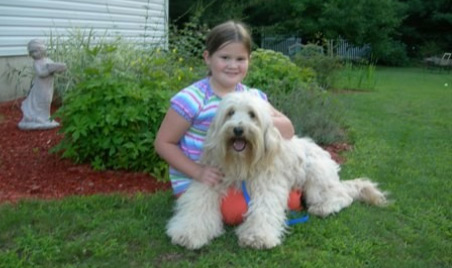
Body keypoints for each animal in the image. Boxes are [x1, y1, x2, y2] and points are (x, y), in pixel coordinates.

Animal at [168, 91, 386, 249]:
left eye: (252, 114)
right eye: (230, 113)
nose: (238, 130)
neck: (242, 163)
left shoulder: (267, 186)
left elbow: (264, 209)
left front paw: (258, 237)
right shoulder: (210, 180)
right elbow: (197, 206)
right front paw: (188, 232)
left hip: (316, 181)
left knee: (343, 196)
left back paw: (323, 208)